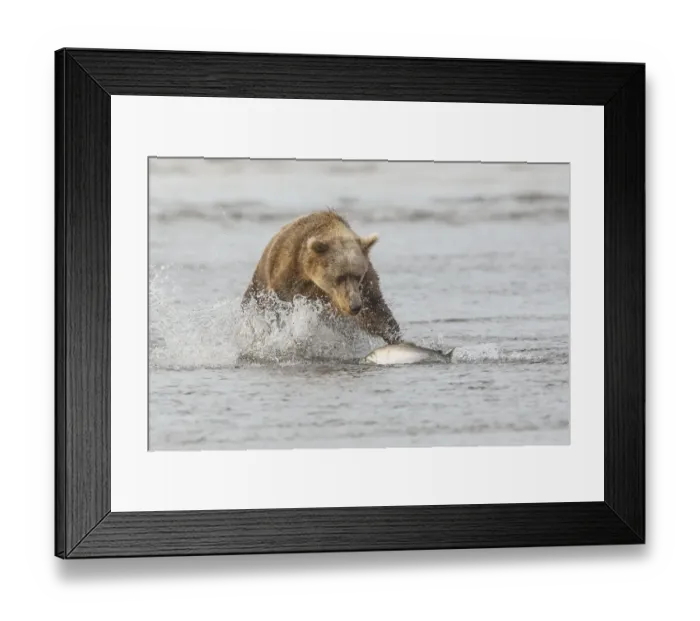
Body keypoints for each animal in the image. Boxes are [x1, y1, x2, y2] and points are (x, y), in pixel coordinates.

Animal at [242, 210, 401, 344]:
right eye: (339, 277)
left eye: (357, 276)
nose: (355, 306)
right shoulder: (288, 277)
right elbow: (280, 309)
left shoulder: (365, 283)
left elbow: (375, 311)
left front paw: (394, 336)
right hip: (258, 284)